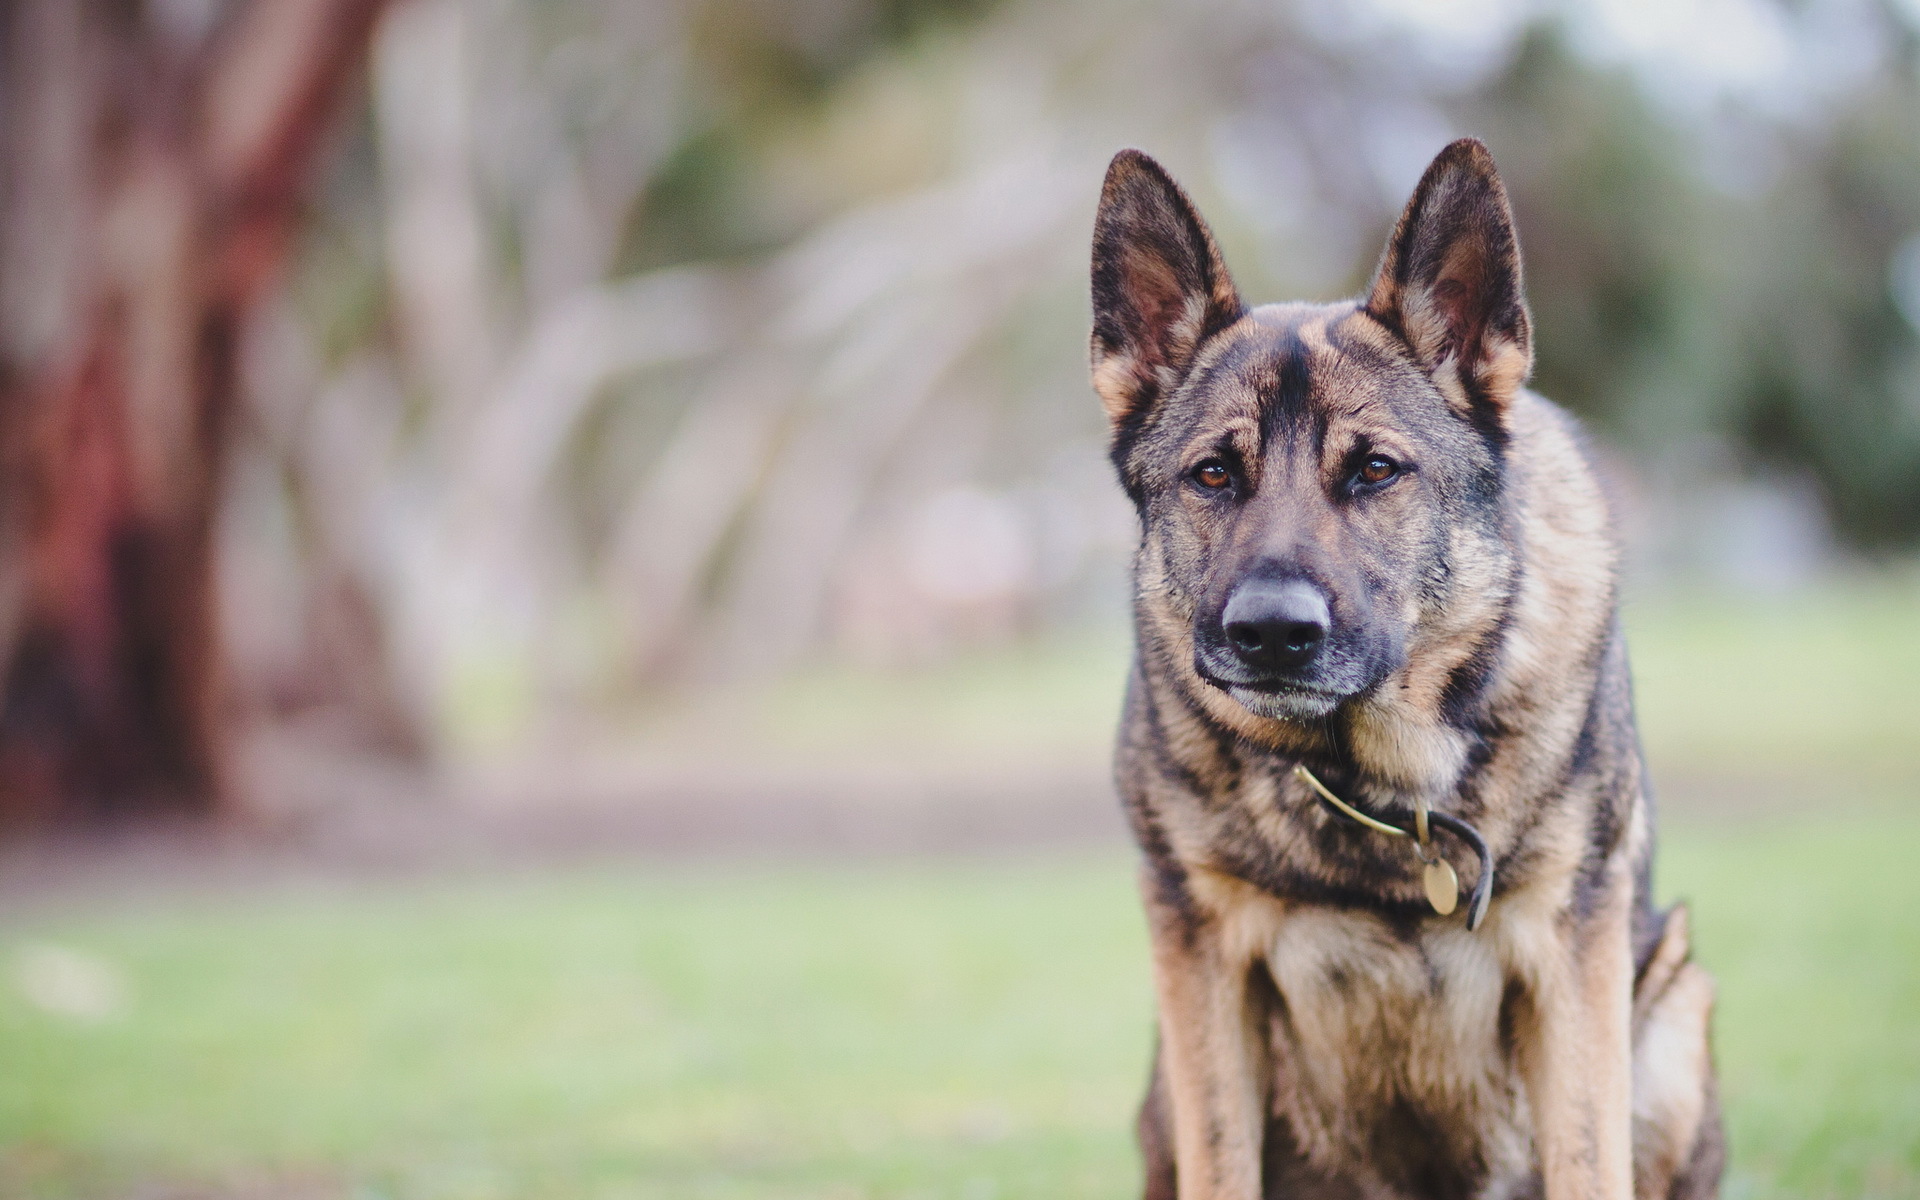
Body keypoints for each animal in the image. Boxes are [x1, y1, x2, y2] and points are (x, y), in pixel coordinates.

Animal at [1098, 133, 1728, 1198]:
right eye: (1214, 474)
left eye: (1376, 471)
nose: (1272, 632)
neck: (1375, 786)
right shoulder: (1202, 957)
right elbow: (1221, 1161)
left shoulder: (1574, 955)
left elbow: (1587, 1157)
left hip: (1674, 998)